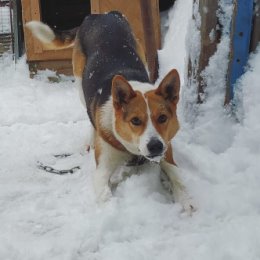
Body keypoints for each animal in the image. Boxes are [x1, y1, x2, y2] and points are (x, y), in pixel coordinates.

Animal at [26, 11, 194, 212]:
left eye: (162, 118)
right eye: (135, 120)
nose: (155, 146)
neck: (133, 151)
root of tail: (99, 15)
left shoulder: (167, 152)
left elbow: (178, 178)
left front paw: (187, 201)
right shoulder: (102, 169)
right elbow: (105, 195)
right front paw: (110, 209)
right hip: (80, 84)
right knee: (88, 115)